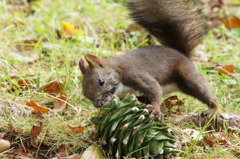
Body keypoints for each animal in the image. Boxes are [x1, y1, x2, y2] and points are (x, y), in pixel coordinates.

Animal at [79, 0, 219, 120]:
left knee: (204, 91)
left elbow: (154, 88)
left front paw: (155, 109)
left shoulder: (135, 74)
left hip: (187, 75)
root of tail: (180, 53)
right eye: (84, 93)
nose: (98, 104)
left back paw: (213, 109)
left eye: (101, 81)